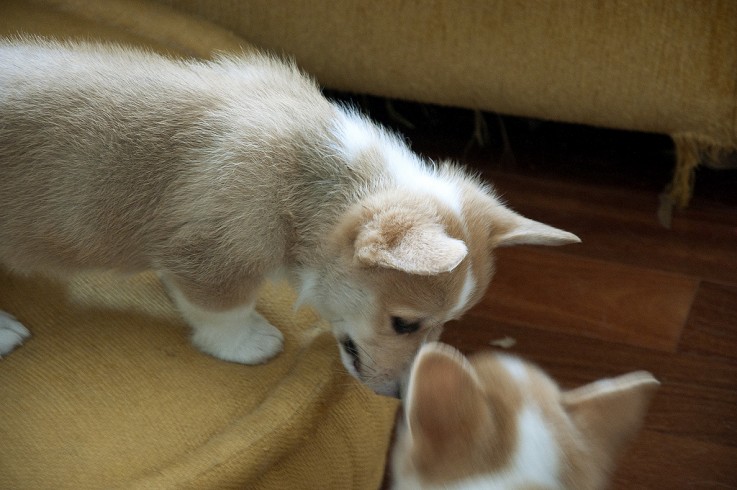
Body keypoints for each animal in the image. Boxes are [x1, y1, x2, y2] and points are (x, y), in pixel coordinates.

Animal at [0, 40, 580, 396]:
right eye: (404, 323)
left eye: (446, 324)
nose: (400, 398)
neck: (313, 181)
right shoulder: (213, 258)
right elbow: (224, 310)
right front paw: (248, 343)